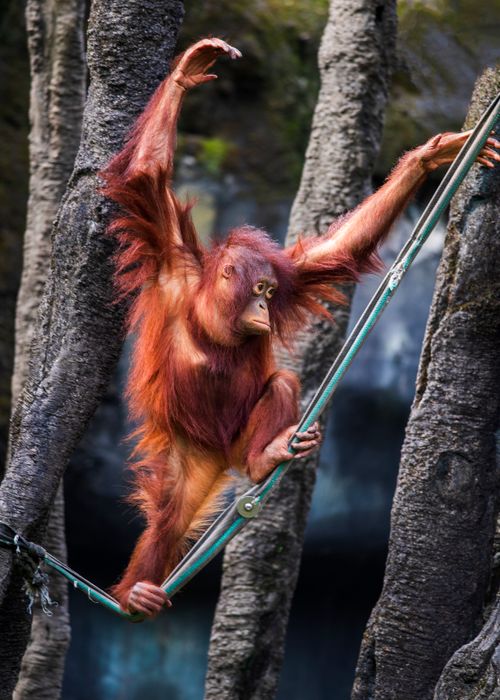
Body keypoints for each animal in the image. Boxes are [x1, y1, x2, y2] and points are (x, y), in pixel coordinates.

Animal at [101, 38, 500, 618]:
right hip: (190, 453)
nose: (264, 310)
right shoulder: (171, 259)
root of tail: (224, 456)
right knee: (169, 514)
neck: (210, 312)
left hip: (237, 441)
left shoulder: (294, 279)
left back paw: (263, 461)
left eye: (271, 293)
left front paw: (432, 156)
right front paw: (186, 73)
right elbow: (146, 177)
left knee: (283, 385)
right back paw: (138, 594)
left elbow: (333, 252)